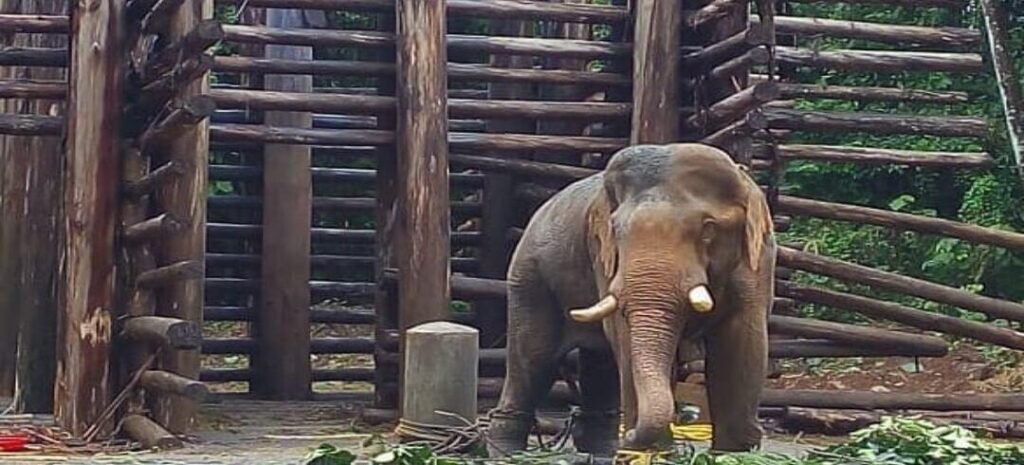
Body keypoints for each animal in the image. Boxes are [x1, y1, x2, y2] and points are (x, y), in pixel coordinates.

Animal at [483, 143, 770, 456]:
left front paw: (734, 454)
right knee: (534, 358)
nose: (629, 434)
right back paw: (506, 452)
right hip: (529, 278)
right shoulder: (602, 253)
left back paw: (601, 448)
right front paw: (649, 452)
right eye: (616, 230)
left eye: (708, 229)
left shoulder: (757, 258)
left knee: (599, 362)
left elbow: (742, 340)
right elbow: (623, 333)